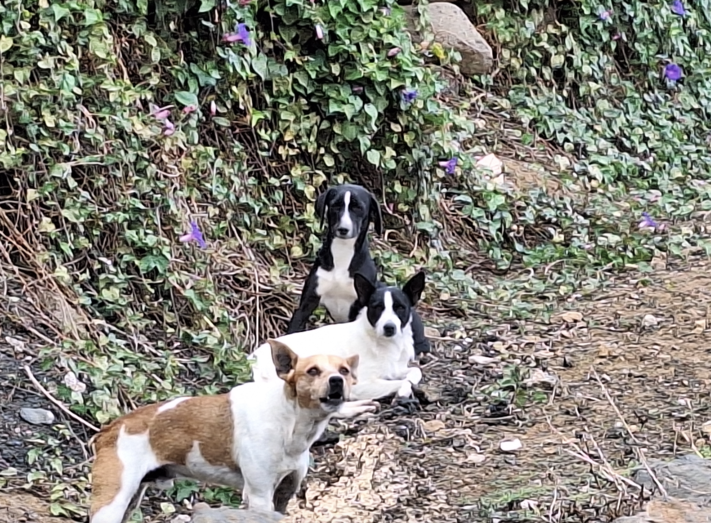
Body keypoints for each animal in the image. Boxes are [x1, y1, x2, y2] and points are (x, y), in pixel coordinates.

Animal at [88, 340, 377, 523]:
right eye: (313, 371)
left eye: (344, 371)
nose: (336, 381)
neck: (291, 422)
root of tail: (109, 429)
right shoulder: (259, 496)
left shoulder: (284, 494)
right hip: (112, 503)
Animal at [253, 271, 426, 403]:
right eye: (377, 307)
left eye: (400, 307)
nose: (389, 327)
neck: (382, 343)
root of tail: (253, 360)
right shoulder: (360, 384)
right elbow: (401, 382)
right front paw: (403, 391)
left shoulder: (397, 369)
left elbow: (415, 371)